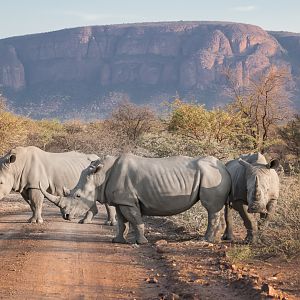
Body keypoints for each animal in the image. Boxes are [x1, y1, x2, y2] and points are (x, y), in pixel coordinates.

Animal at [39, 155, 232, 244]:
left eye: (78, 196)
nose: (66, 217)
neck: (100, 176)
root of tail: (224, 167)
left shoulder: (128, 201)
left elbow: (136, 220)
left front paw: (141, 242)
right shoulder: (121, 201)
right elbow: (121, 222)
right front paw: (117, 241)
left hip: (211, 175)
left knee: (211, 208)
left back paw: (206, 241)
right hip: (213, 175)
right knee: (217, 208)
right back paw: (215, 239)